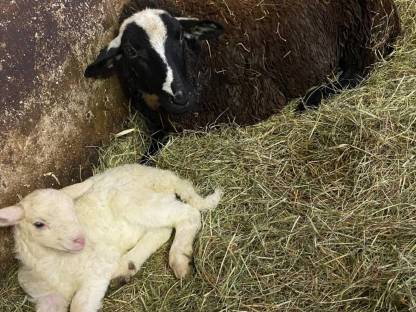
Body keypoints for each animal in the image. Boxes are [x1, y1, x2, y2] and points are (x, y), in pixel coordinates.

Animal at [0, 165, 221, 310]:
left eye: (72, 210)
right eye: (39, 224)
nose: (80, 240)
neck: (55, 264)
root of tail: (162, 174)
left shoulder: (98, 265)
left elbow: (79, 304)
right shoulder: (46, 296)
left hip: (135, 202)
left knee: (188, 214)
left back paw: (179, 259)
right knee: (163, 230)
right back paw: (126, 266)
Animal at [83, 0, 400, 160]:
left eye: (180, 37)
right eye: (132, 52)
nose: (180, 95)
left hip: (366, 27)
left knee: (359, 69)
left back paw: (310, 100)